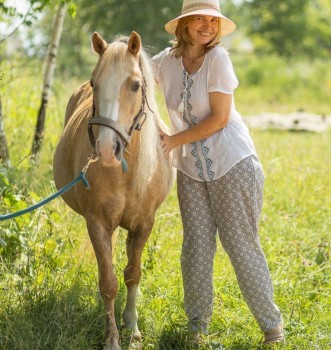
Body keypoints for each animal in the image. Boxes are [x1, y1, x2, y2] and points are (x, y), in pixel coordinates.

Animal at [52, 31, 174, 348]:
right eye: (95, 82)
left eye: (135, 85)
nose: (107, 148)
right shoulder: (96, 224)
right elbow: (108, 283)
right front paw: (112, 338)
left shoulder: (144, 224)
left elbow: (132, 274)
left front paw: (132, 327)